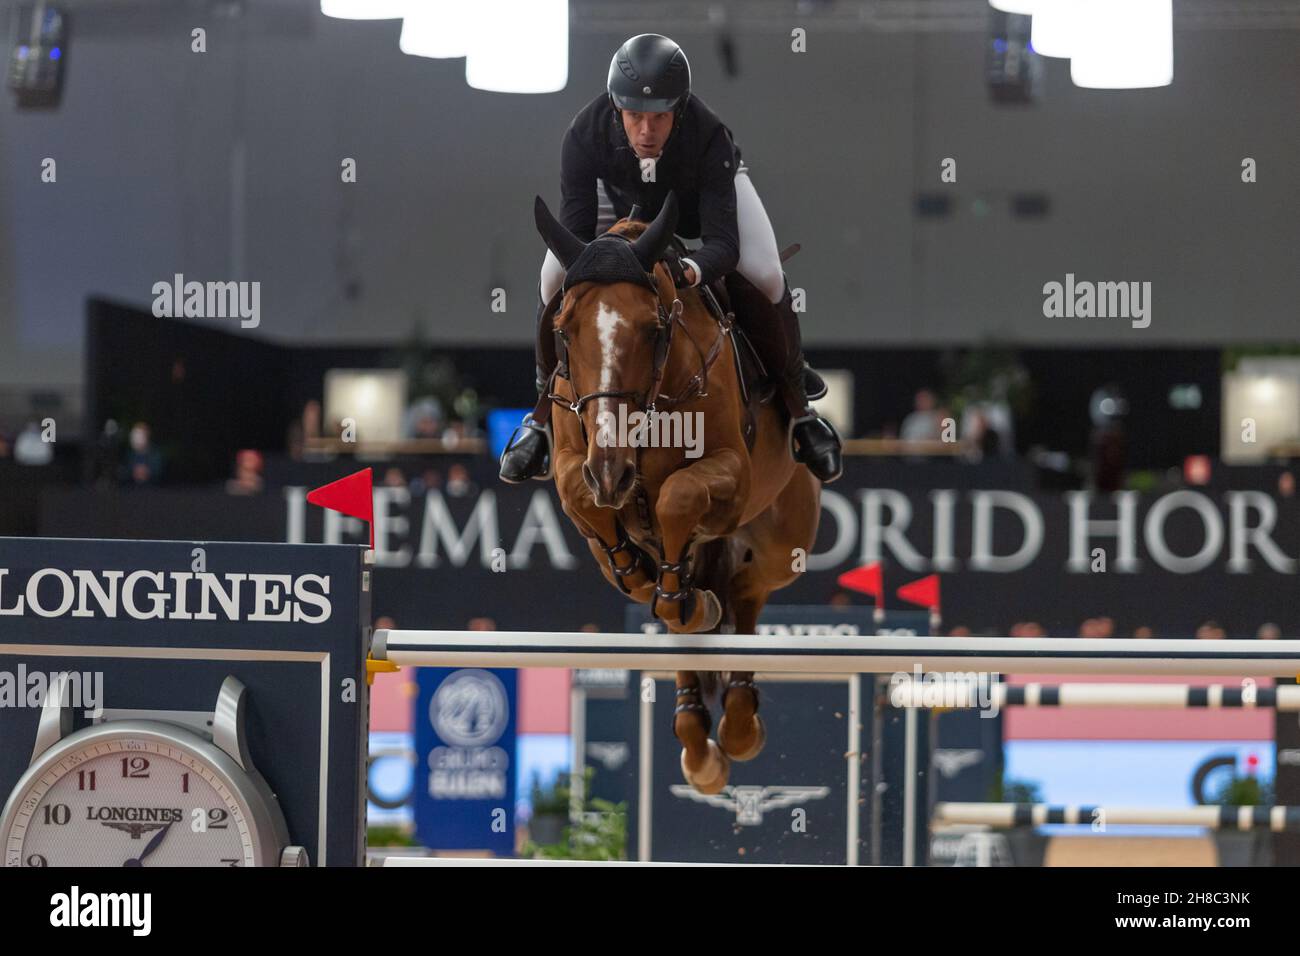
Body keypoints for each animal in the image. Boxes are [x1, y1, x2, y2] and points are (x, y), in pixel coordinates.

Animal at [530, 192, 816, 790]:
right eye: (563, 328)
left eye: (651, 327)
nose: (612, 471)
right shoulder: (576, 465)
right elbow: (582, 495)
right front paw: (637, 566)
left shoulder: (731, 474)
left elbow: (678, 497)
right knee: (676, 610)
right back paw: (697, 739)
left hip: (782, 543)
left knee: (744, 592)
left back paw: (737, 725)